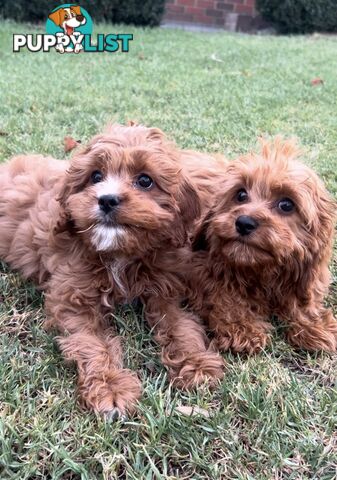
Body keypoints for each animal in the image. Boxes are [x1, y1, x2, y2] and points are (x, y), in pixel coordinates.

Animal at [0, 125, 226, 418]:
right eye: (95, 176)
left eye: (145, 180)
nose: (106, 199)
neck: (119, 254)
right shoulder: (73, 299)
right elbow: (93, 344)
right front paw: (111, 387)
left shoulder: (165, 287)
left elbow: (180, 325)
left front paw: (196, 363)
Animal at [189, 137, 336, 354]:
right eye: (241, 195)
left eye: (286, 205)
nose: (244, 223)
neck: (260, 271)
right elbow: (222, 291)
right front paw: (242, 327)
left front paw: (314, 324)